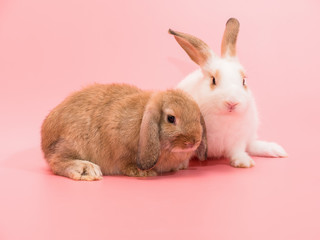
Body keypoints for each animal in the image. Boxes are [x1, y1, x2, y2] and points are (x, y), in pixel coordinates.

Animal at [40, 83, 208, 181]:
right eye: (171, 118)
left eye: (197, 117)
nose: (193, 141)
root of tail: (45, 135)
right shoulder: (120, 147)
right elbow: (125, 162)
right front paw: (143, 173)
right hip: (74, 143)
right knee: (57, 161)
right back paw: (87, 170)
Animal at [170, 17, 288, 167]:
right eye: (213, 80)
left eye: (243, 81)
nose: (232, 103)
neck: (224, 117)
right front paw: (179, 166)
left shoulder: (238, 139)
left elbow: (237, 151)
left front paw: (244, 163)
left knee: (251, 145)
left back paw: (276, 150)